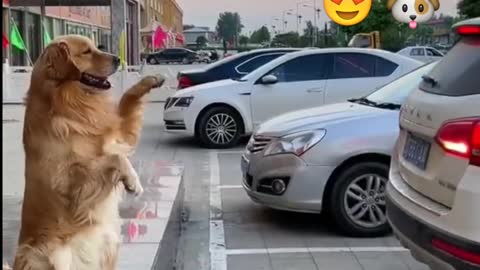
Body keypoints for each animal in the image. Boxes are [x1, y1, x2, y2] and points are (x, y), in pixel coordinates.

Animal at [12, 34, 165, 268]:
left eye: (96, 46)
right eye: (86, 52)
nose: (118, 58)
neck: (72, 105)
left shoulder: (118, 135)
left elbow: (128, 99)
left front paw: (151, 79)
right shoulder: (70, 182)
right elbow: (115, 158)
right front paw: (133, 181)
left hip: (109, 245)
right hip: (47, 254)